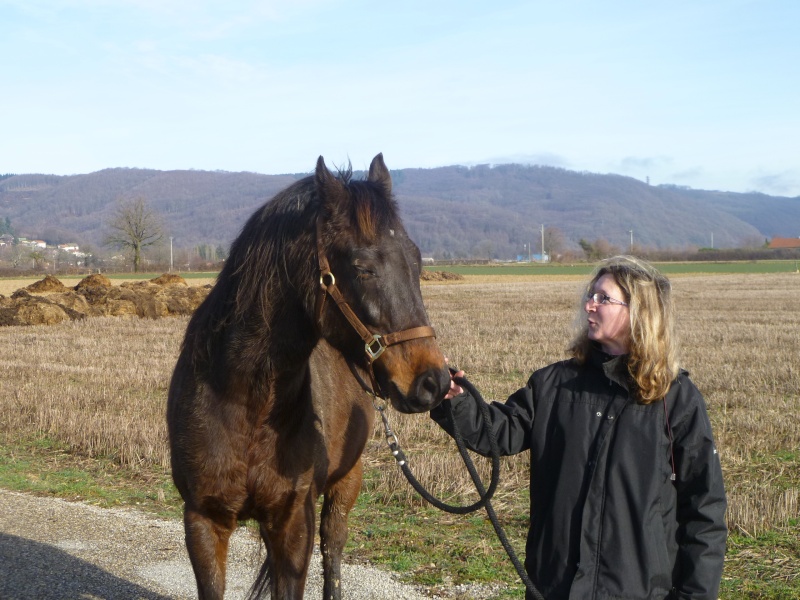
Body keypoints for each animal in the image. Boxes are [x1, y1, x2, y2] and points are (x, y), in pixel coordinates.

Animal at [166, 155, 450, 600]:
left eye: (416, 260)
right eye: (362, 267)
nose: (433, 382)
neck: (243, 400)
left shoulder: (294, 520)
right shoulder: (203, 520)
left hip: (346, 482)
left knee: (333, 550)